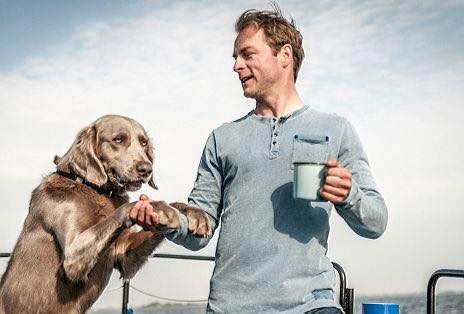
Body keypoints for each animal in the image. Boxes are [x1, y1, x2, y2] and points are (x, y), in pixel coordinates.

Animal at [0, 115, 210, 314]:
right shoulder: (73, 257)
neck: (95, 189)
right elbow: (126, 208)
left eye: (143, 142)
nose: (146, 169)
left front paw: (196, 214)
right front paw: (163, 209)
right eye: (118, 139)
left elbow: (175, 204)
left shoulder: (125, 255)